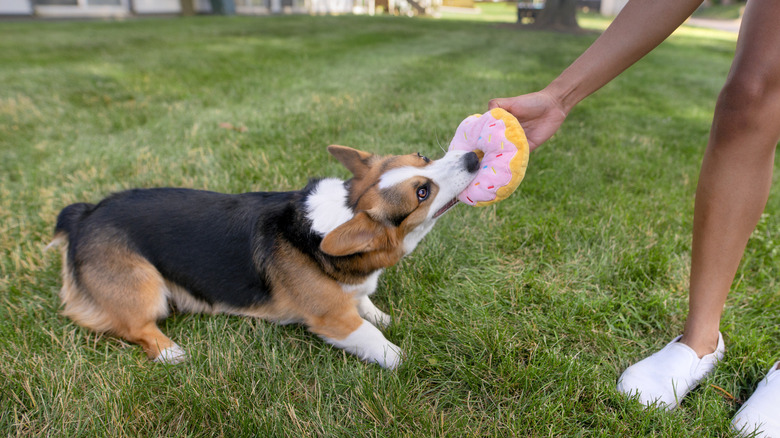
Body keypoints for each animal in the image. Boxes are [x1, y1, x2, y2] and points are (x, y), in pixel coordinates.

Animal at [50, 145, 482, 368]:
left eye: (421, 155)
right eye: (422, 193)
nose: (475, 156)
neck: (340, 215)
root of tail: (84, 215)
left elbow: (366, 305)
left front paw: (378, 313)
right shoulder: (333, 320)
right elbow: (373, 338)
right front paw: (402, 356)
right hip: (145, 287)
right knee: (136, 327)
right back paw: (170, 351)